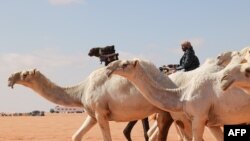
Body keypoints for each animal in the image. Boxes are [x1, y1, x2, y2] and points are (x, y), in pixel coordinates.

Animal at [8, 66, 176, 140]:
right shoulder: (92, 115)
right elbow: (76, 136)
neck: (81, 90)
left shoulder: (100, 112)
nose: (10, 78)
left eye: (24, 74)